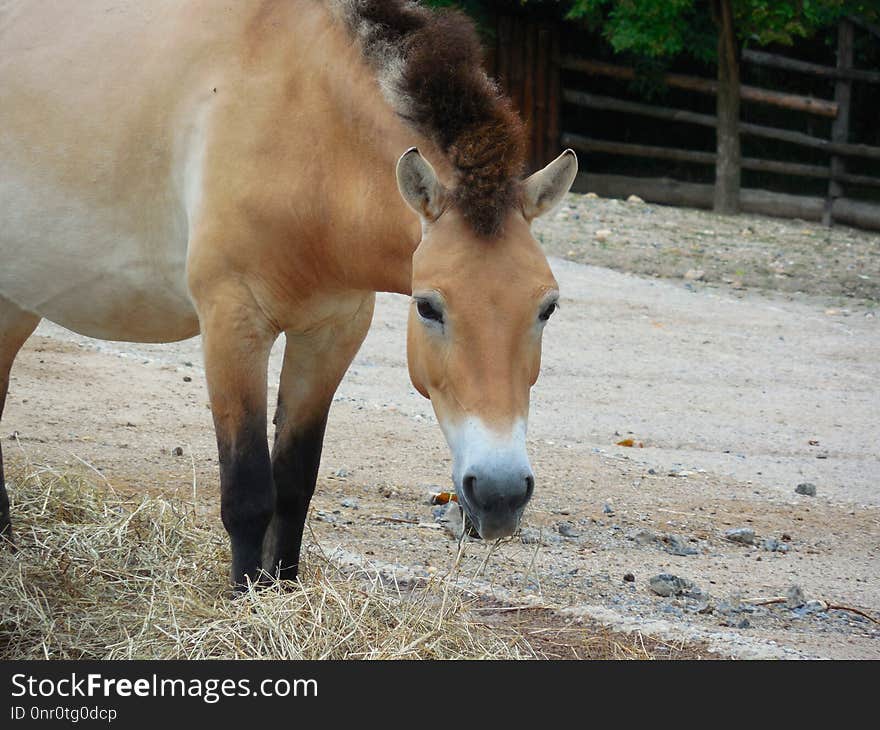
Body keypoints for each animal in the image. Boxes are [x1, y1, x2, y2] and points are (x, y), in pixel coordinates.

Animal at [1, 1, 576, 584]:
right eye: (428, 307)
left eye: (548, 308)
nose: (502, 494)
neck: (306, 135)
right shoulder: (232, 325)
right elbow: (248, 493)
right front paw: (246, 598)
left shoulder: (332, 335)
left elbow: (295, 484)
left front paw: (282, 587)